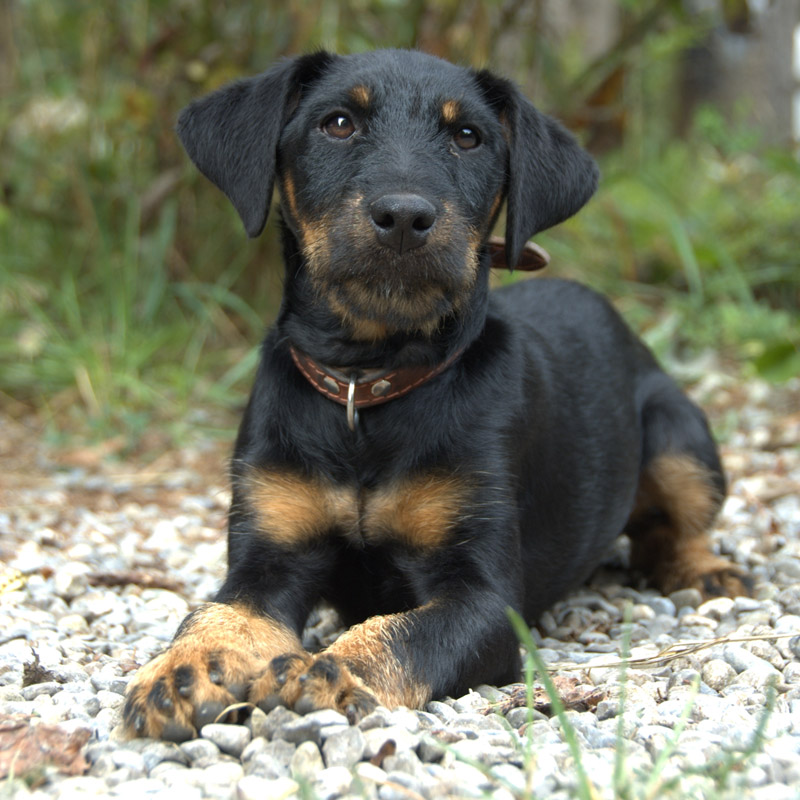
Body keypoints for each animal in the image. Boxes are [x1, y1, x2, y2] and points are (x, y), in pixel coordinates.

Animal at [122, 48, 748, 736]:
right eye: (337, 123)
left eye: (468, 137)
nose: (404, 217)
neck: (366, 385)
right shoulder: (267, 555)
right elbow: (221, 614)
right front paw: (185, 671)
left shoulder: (488, 597)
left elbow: (408, 634)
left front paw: (335, 669)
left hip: (678, 436)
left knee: (676, 527)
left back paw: (706, 571)